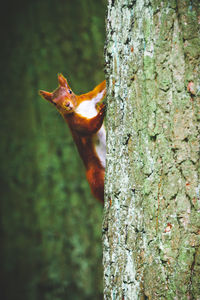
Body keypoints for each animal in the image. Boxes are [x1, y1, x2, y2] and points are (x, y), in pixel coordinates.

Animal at [39, 73, 107, 203]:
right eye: (54, 103)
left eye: (70, 91)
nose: (67, 105)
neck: (78, 107)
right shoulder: (73, 122)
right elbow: (88, 127)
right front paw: (101, 112)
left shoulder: (89, 97)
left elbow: (100, 90)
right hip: (95, 173)